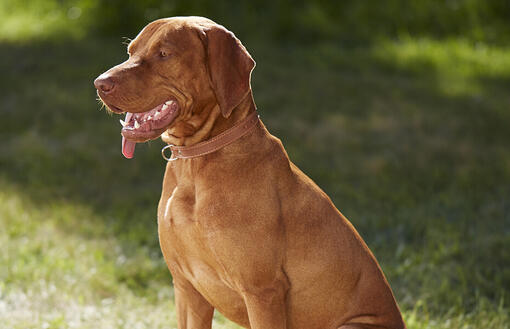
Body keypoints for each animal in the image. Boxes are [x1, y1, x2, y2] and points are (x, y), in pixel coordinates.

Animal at [94, 16, 406, 328]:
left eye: (164, 54)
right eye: (130, 51)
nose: (99, 84)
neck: (196, 163)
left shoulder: (262, 292)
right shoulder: (186, 288)